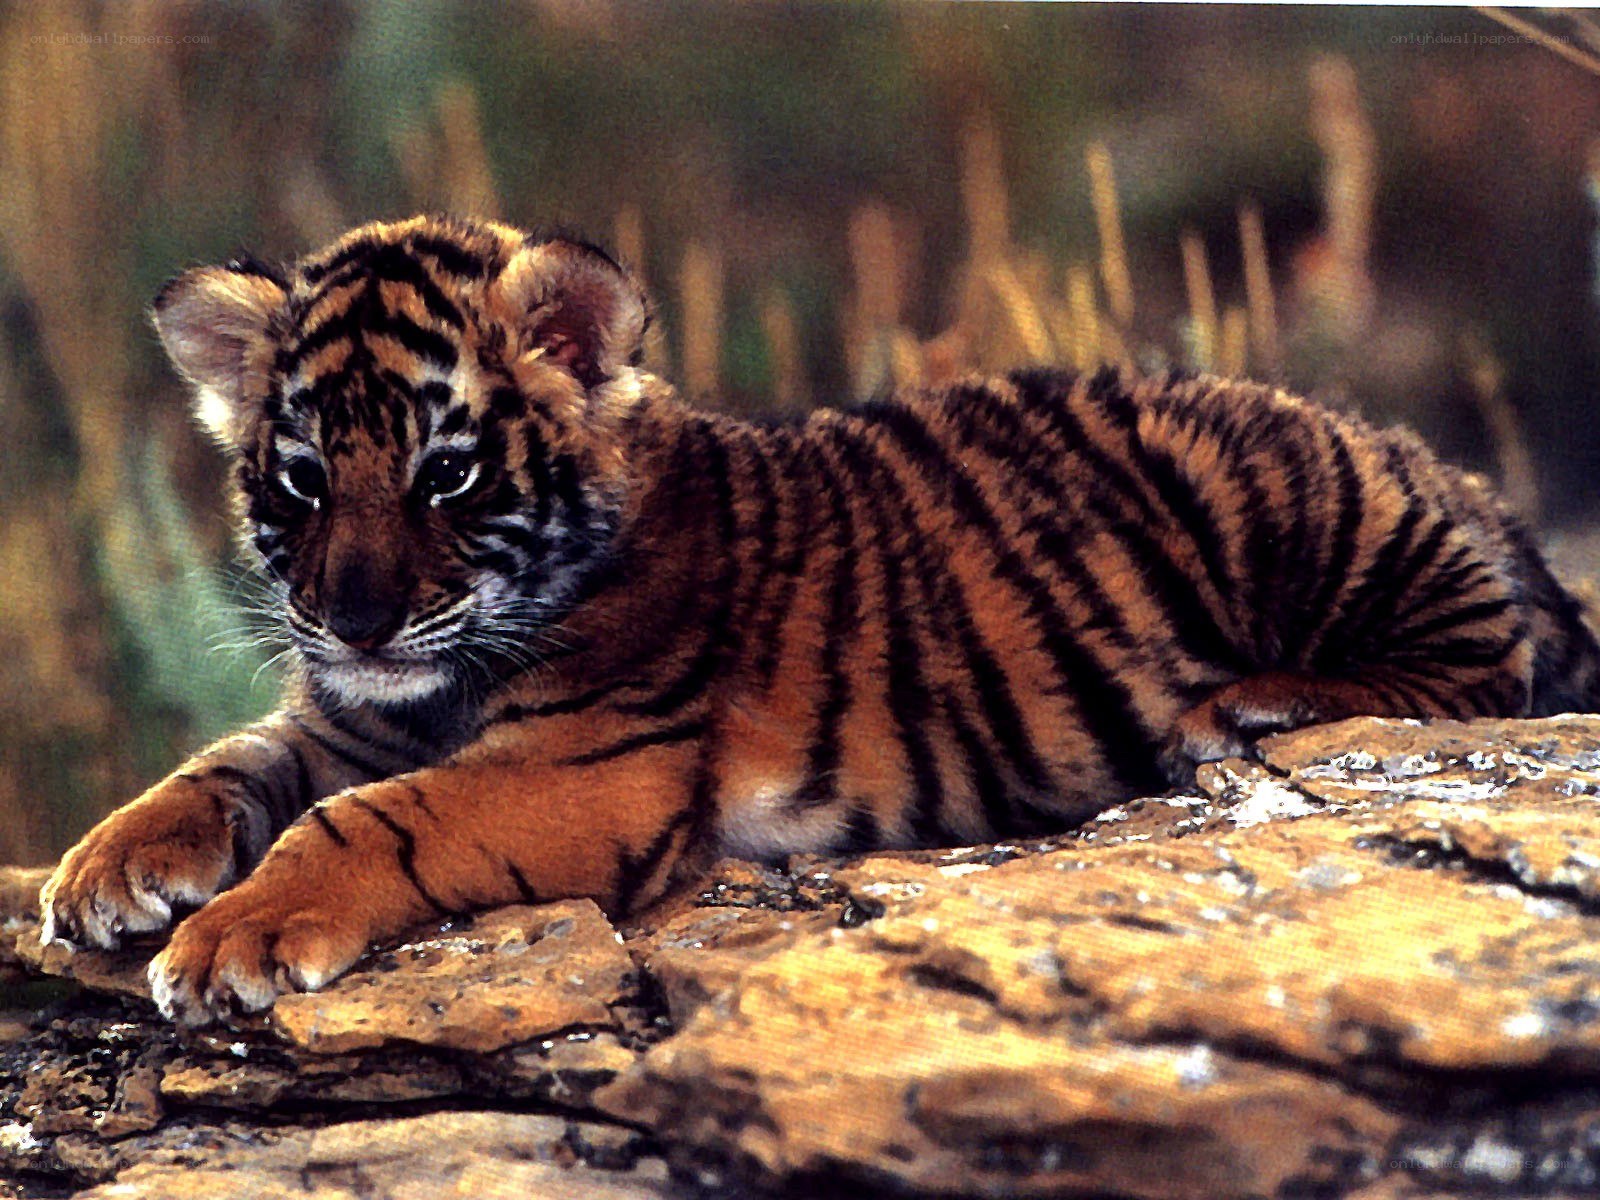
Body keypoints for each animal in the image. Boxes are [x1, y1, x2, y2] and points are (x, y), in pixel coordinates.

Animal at [38, 214, 1600, 1027]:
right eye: (303, 480)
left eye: (448, 473)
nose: (351, 620)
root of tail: (1431, 460)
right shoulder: (353, 717)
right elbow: (230, 764)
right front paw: (101, 871)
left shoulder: (589, 767)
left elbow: (365, 823)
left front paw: (231, 939)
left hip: (1285, 493)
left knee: (1490, 657)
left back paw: (1259, 697)